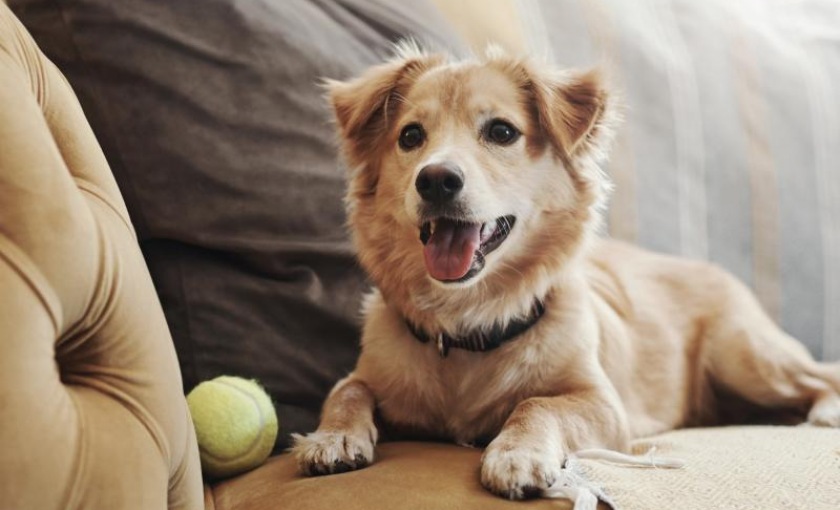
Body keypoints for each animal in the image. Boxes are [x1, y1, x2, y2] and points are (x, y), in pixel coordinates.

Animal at [290, 43, 840, 498]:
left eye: (502, 132)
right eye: (410, 136)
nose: (436, 180)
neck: (470, 323)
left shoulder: (603, 405)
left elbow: (537, 404)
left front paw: (516, 454)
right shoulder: (369, 374)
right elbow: (346, 388)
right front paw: (332, 437)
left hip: (746, 356)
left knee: (820, 378)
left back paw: (822, 413)